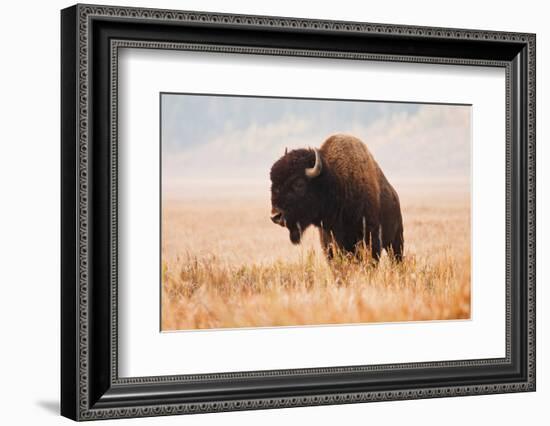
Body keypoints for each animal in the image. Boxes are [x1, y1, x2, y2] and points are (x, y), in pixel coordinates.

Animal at [272, 133, 406, 262]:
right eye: (273, 182)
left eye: (299, 184)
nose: (275, 216)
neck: (337, 182)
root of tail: (395, 195)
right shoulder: (329, 242)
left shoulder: (370, 239)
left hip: (396, 242)